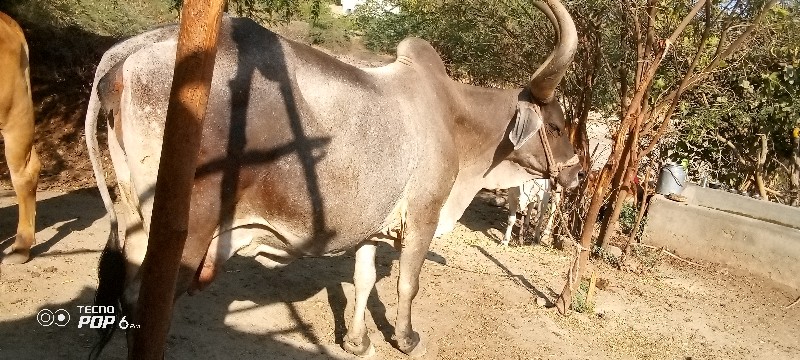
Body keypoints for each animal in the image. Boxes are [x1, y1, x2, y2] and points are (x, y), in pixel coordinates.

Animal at [87, 0, 584, 358]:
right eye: (558, 126)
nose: (578, 172)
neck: (455, 120)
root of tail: (126, 59)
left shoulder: (370, 226)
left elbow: (363, 280)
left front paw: (356, 342)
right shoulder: (423, 215)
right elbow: (408, 283)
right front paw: (405, 339)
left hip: (134, 219)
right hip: (185, 231)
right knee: (146, 307)